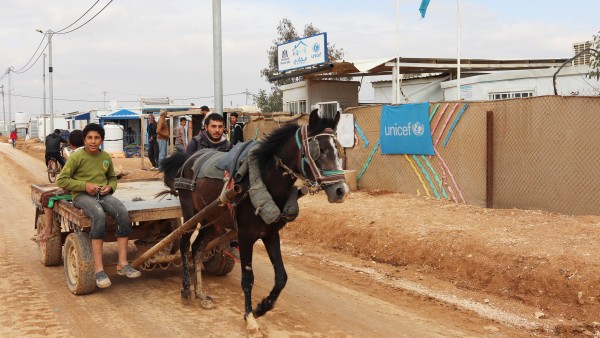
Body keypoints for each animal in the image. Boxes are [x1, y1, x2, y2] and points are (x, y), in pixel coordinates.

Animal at [159, 109, 350, 332]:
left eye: (337, 149)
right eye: (319, 150)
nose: (341, 191)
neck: (264, 179)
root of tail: (189, 158)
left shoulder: (270, 234)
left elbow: (282, 277)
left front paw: (262, 307)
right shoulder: (245, 235)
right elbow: (247, 278)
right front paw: (249, 316)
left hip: (212, 221)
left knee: (197, 248)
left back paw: (201, 294)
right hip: (191, 214)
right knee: (184, 245)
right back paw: (186, 290)